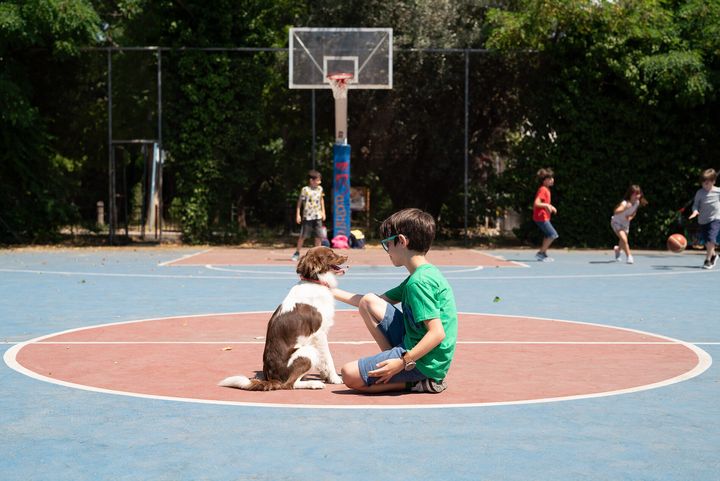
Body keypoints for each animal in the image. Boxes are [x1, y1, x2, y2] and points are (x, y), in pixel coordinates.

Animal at [219, 246, 348, 388]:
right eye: (331, 254)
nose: (347, 256)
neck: (315, 282)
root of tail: (271, 378)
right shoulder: (319, 334)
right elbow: (328, 358)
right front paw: (335, 378)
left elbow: (322, 360)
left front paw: (326, 375)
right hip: (306, 352)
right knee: (290, 384)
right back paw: (314, 384)